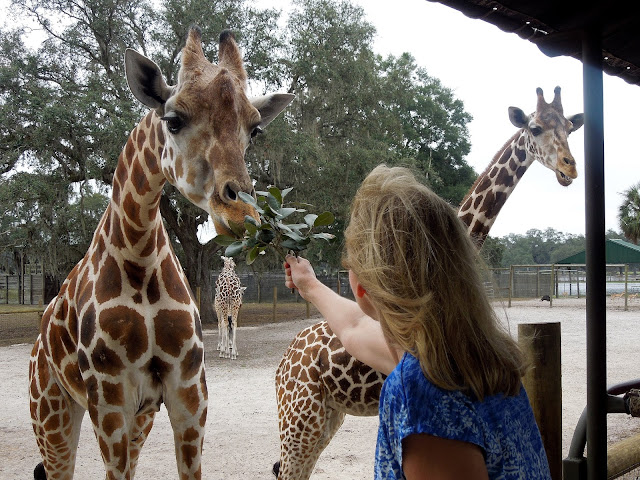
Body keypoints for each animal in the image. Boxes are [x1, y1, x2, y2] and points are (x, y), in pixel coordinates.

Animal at [26, 27, 292, 480]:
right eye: (173, 120)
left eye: (254, 129)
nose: (240, 213)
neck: (140, 255)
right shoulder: (109, 400)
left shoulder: (188, 392)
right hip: (51, 412)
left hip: (139, 417)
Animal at [272, 86, 584, 480]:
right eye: (535, 126)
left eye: (570, 129)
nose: (568, 167)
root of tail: (283, 361)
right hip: (299, 415)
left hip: (328, 415)